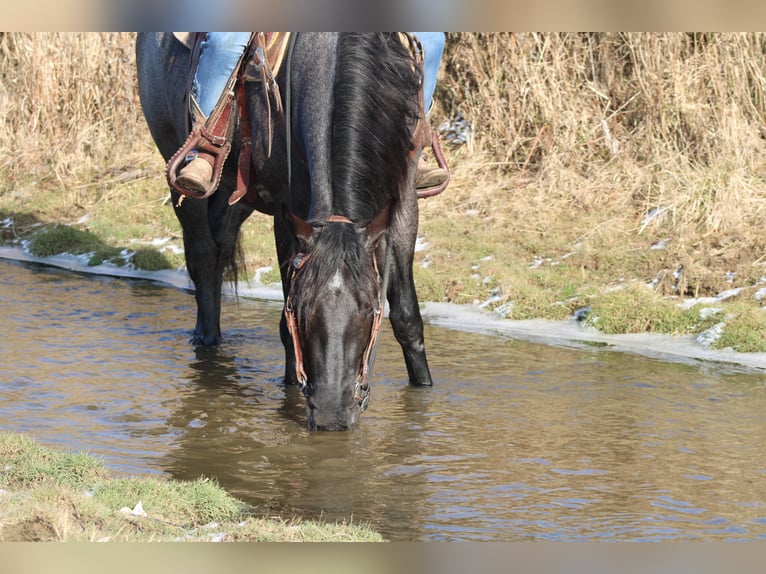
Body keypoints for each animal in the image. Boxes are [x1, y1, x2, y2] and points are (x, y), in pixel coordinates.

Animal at [136, 33, 433, 430]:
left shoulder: (401, 204)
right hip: (180, 168)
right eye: (299, 308)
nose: (332, 413)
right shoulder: (286, 211)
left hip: (236, 195)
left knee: (219, 249)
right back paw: (208, 343)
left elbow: (407, 319)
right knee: (202, 255)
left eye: (370, 309)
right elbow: (285, 330)